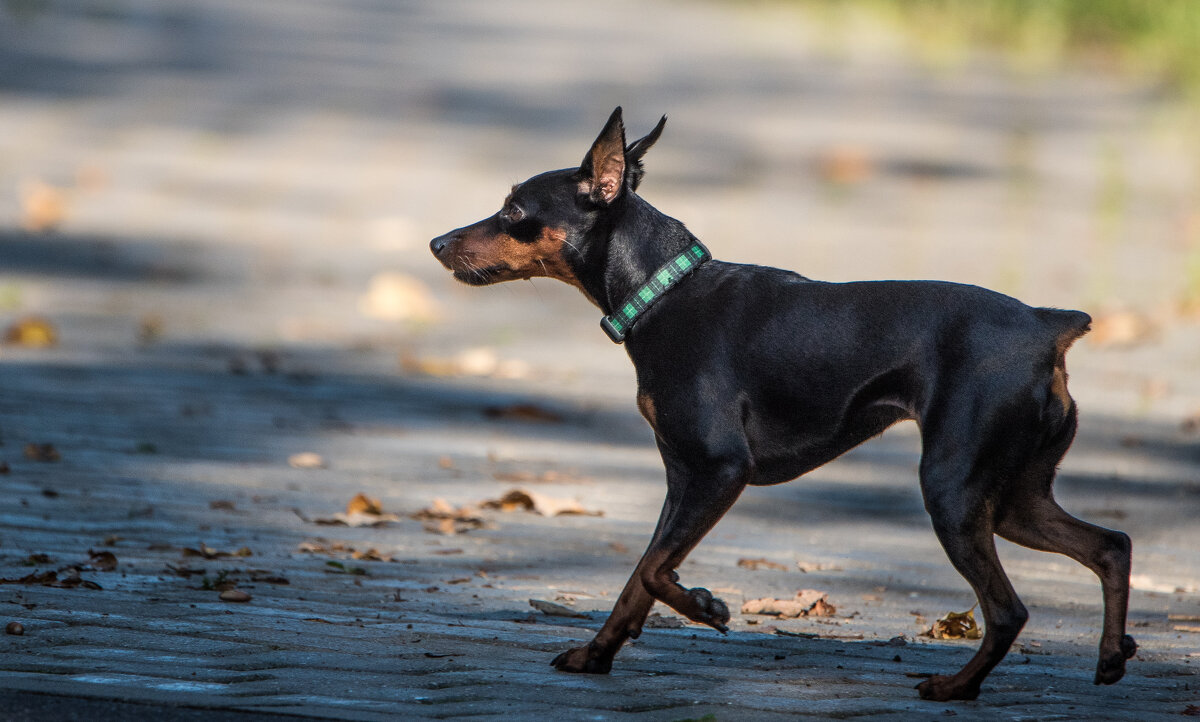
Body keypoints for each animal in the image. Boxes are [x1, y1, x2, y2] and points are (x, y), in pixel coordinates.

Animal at [429, 106, 1132, 695]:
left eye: (513, 210)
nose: (437, 243)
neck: (662, 293)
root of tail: (1047, 326)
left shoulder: (720, 470)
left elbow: (654, 572)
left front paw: (706, 607)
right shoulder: (682, 477)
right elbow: (639, 576)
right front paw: (595, 655)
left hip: (954, 490)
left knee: (1008, 609)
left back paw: (956, 687)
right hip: (1012, 499)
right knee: (1110, 545)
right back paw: (1111, 655)